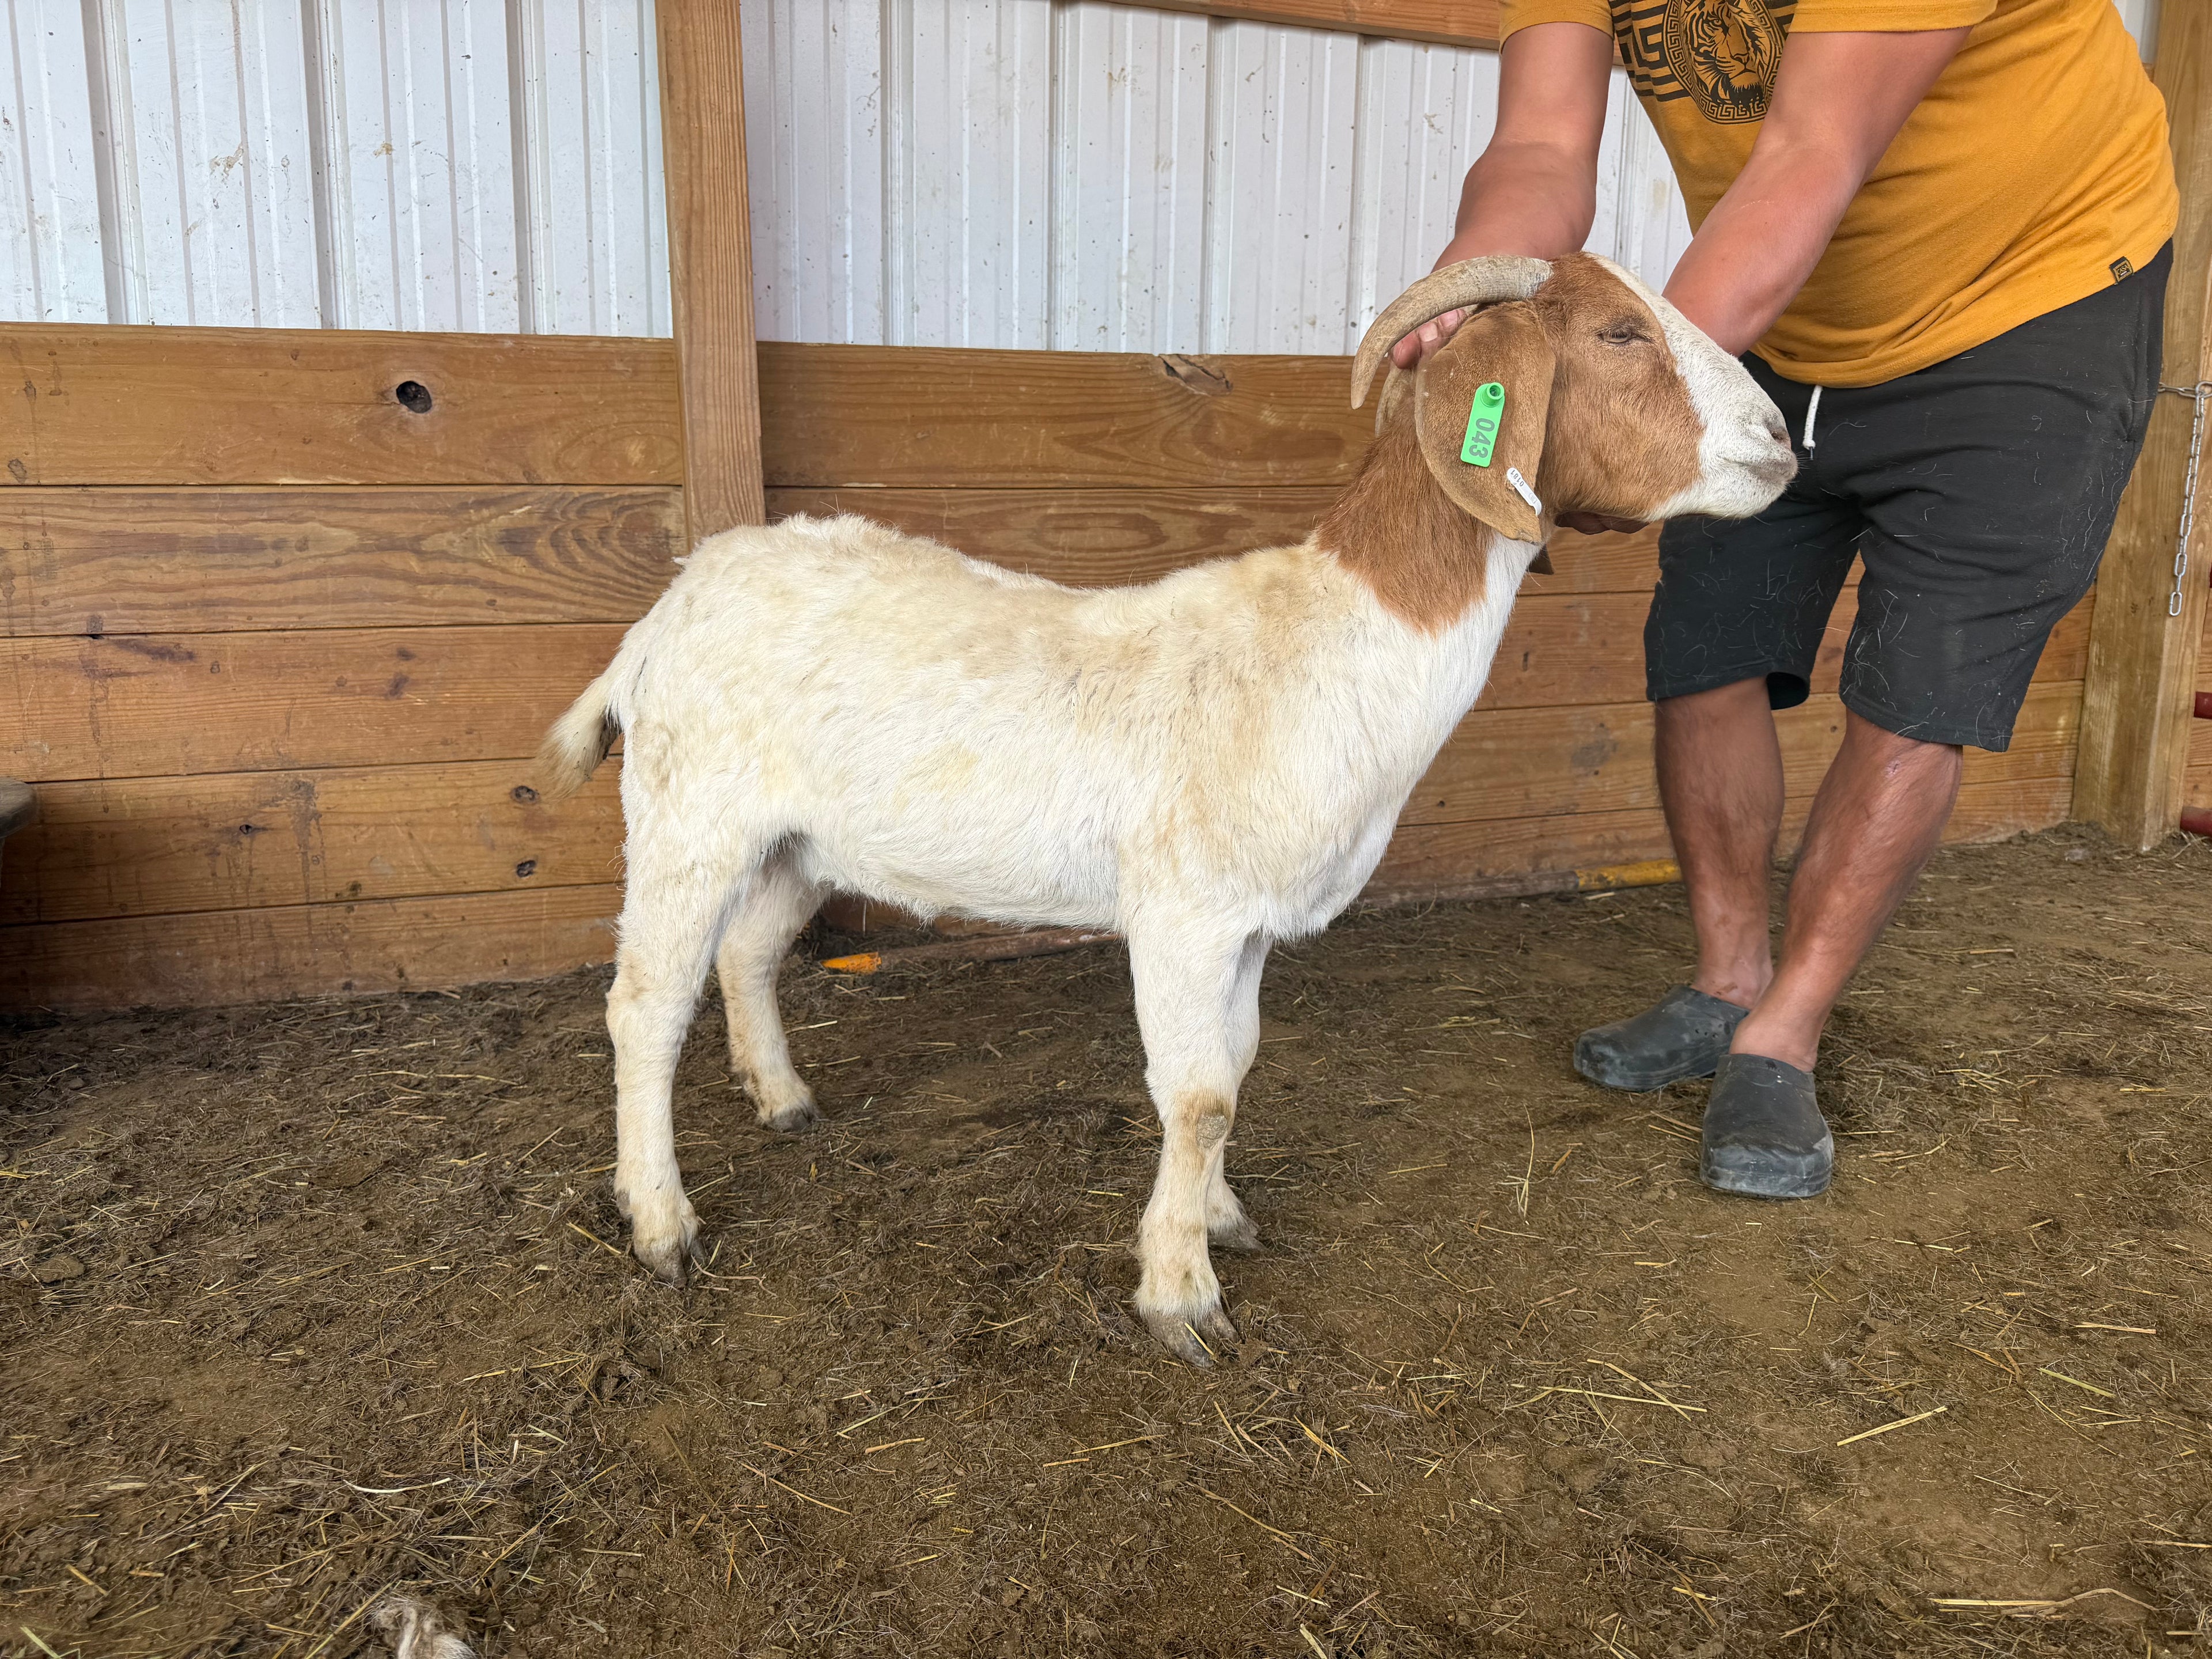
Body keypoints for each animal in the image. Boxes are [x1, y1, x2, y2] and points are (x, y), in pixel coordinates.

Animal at [539, 253, 1795, 1364]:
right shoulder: (1185, 917)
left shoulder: (1249, 928)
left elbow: (1236, 1073)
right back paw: (660, 1222)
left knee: (747, 952)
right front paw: (1180, 1294)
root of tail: (668, 609)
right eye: (1620, 334)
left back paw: (784, 1101)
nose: (1784, 441)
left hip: (797, 838)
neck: (1334, 645)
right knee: (645, 1006)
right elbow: (1193, 1096)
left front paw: (1219, 1218)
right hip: (689, 814)